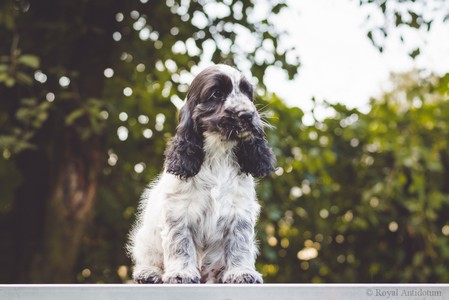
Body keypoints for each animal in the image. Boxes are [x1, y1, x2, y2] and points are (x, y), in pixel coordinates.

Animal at [127, 63, 276, 284]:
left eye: (247, 93)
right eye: (216, 94)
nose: (247, 114)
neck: (218, 155)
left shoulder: (240, 209)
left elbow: (240, 243)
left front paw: (241, 272)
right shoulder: (178, 209)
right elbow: (180, 243)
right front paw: (181, 273)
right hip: (146, 237)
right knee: (149, 256)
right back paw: (149, 273)